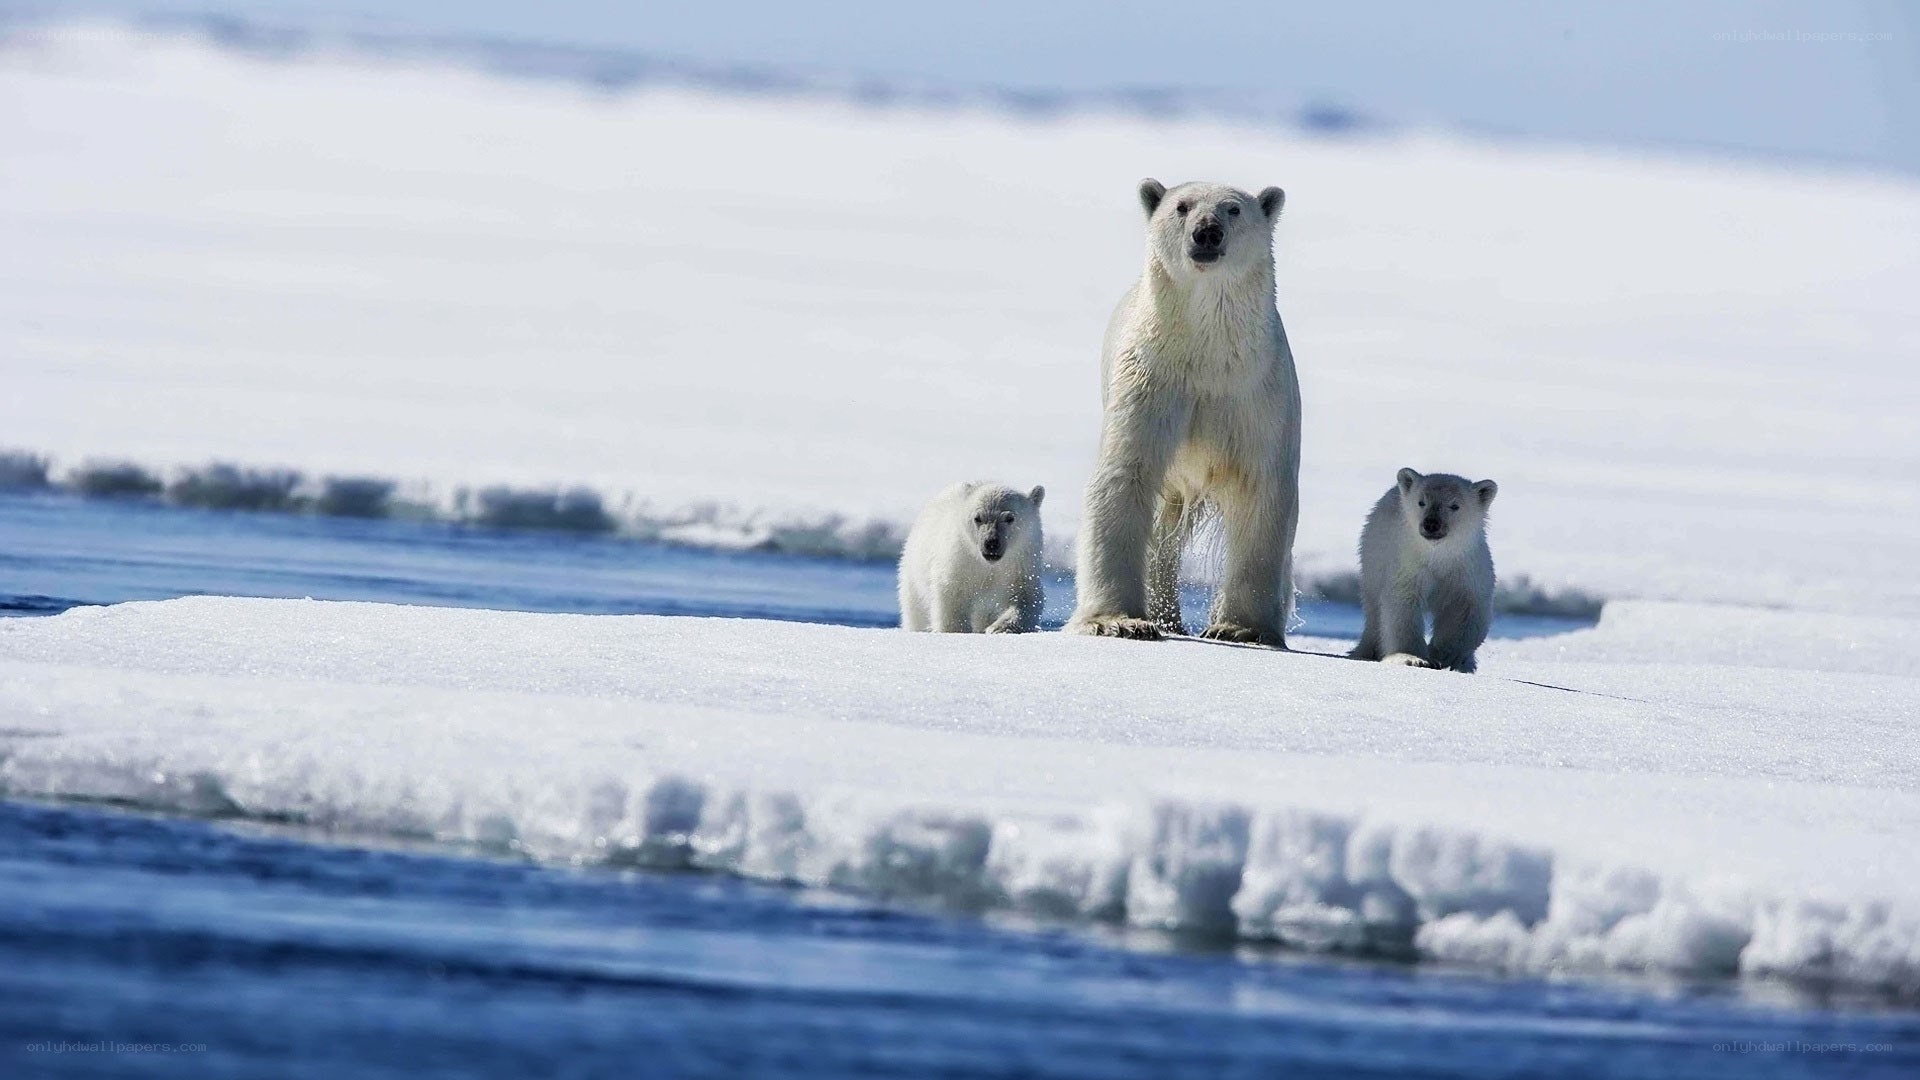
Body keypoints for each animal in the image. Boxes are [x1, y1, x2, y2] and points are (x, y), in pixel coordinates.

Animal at [898, 482, 1046, 634]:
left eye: (1010, 518)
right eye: (978, 518)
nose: (991, 543)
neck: (989, 565)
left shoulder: (1020, 564)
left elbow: (1026, 598)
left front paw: (998, 628)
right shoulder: (959, 561)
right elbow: (952, 597)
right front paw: (958, 630)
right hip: (914, 575)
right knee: (915, 612)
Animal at [1065, 178, 1301, 647]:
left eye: (1233, 209)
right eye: (1182, 206)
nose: (1207, 232)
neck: (1207, 355)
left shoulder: (1257, 395)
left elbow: (1261, 489)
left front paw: (1241, 628)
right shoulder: (1152, 380)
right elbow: (1125, 475)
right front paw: (1119, 621)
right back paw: (1166, 616)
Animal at [1350, 468, 1499, 673]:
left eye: (1454, 506)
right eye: (1421, 502)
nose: (1431, 524)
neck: (1438, 555)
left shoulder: (1468, 569)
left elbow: (1466, 609)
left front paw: (1444, 654)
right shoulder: (1409, 565)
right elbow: (1403, 605)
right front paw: (1412, 658)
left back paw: (1466, 664)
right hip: (1373, 561)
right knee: (1373, 611)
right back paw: (1367, 650)